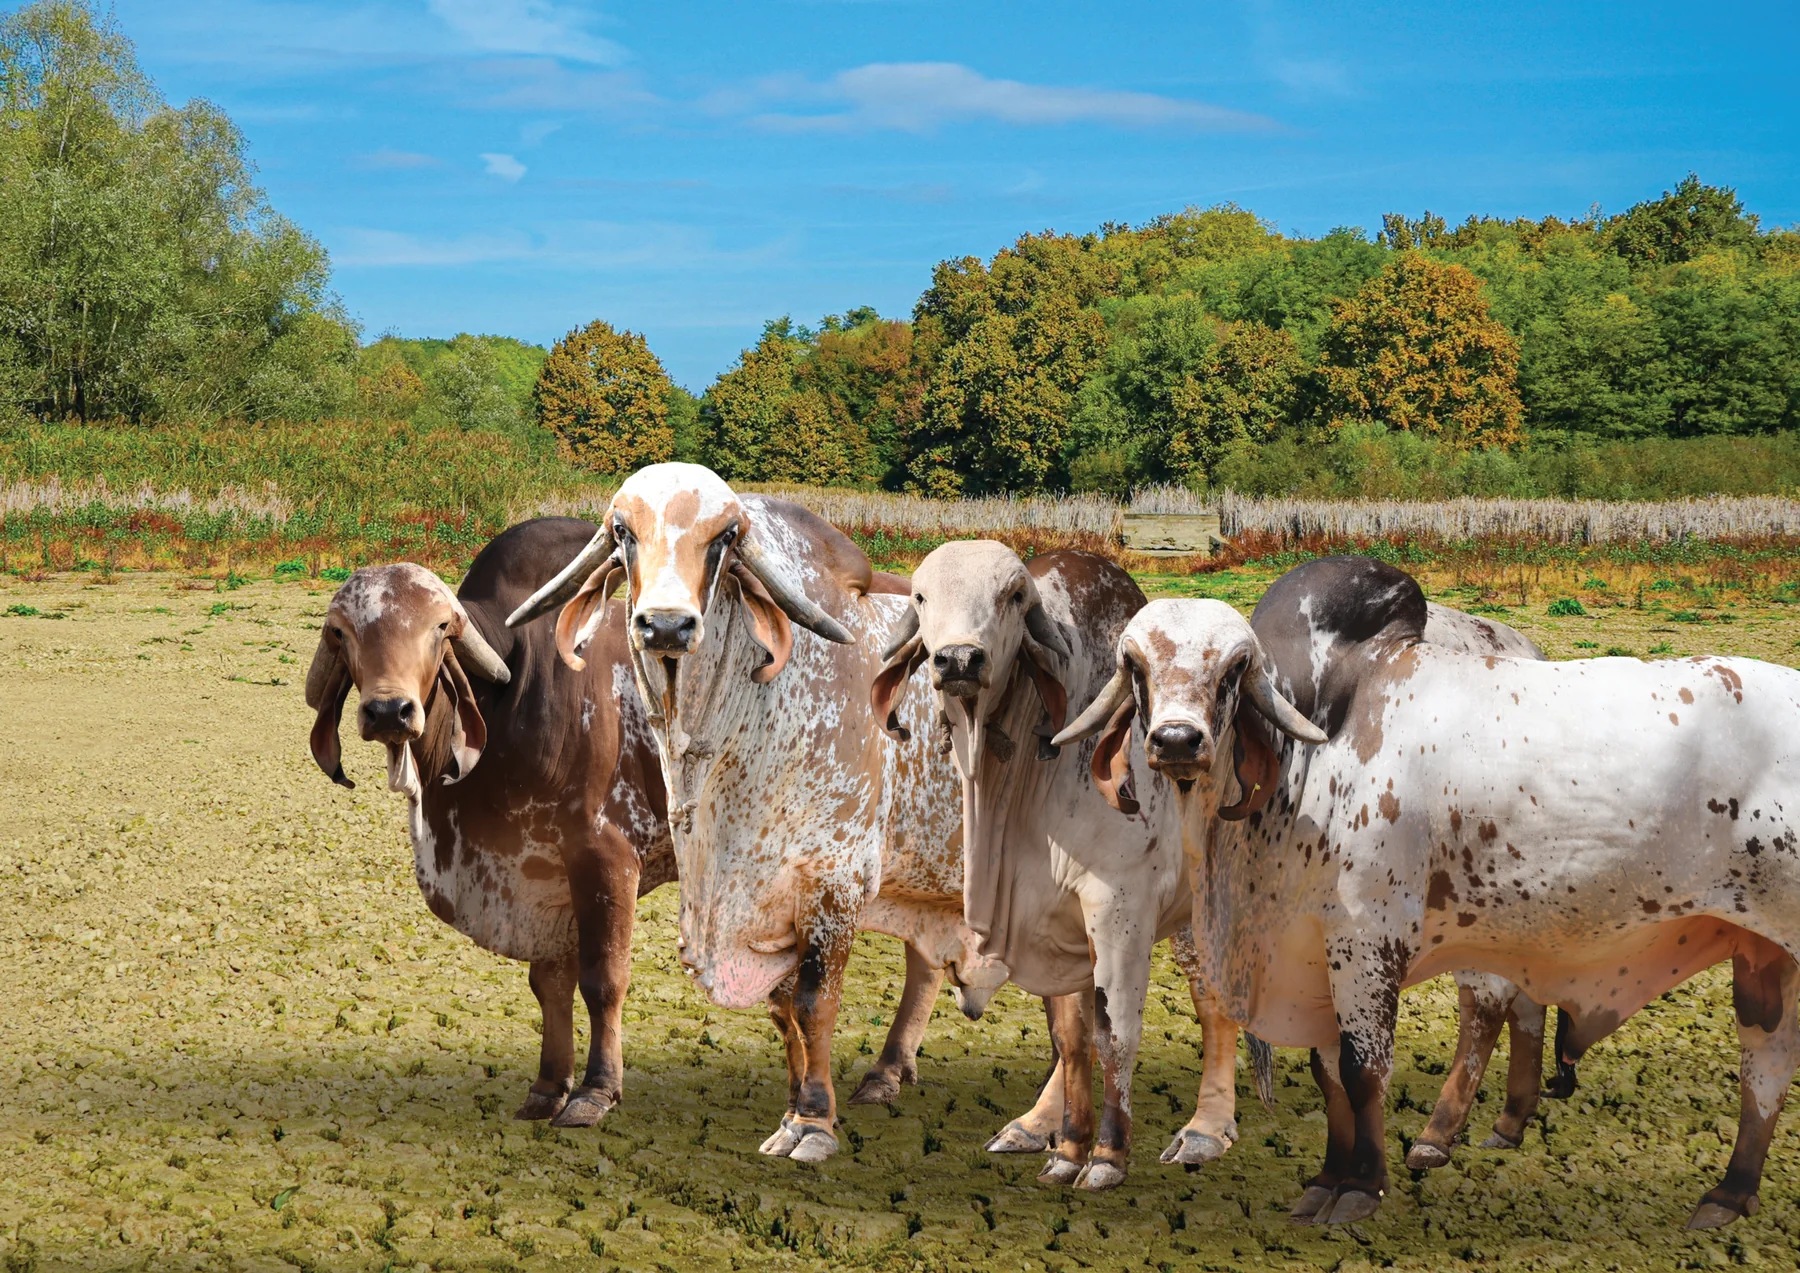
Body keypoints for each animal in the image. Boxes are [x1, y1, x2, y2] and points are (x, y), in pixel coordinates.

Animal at [305, 519, 951, 1128]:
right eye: (341, 632)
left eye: (441, 627)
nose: (389, 711)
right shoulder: (542, 877)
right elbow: (549, 984)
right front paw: (547, 1086)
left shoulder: (606, 857)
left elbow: (604, 980)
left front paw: (595, 1091)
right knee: (926, 954)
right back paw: (886, 1073)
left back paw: (881, 1073)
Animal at [506, 466, 1014, 1162]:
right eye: (622, 531)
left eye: (725, 537)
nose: (666, 627)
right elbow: (782, 1010)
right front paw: (794, 1109)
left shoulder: (835, 886)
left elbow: (814, 1003)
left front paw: (814, 1124)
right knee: (934, 966)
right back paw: (889, 1076)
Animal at [870, 540, 1255, 1189]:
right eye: (921, 596)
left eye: (1012, 596)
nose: (959, 659)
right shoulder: (1049, 920)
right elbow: (1068, 1034)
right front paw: (1065, 1145)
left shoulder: (1117, 912)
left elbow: (1115, 1032)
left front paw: (1106, 1158)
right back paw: (1036, 1126)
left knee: (1215, 999)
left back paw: (1205, 1130)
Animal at [1055, 554, 1800, 1229]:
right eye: (1135, 666)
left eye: (1234, 668)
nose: (1177, 740)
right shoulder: (1316, 953)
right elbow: (1328, 1071)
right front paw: (1325, 1179)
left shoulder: (1366, 943)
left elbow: (1362, 1069)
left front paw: (1361, 1187)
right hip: (1756, 952)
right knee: (1763, 1060)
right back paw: (1726, 1193)